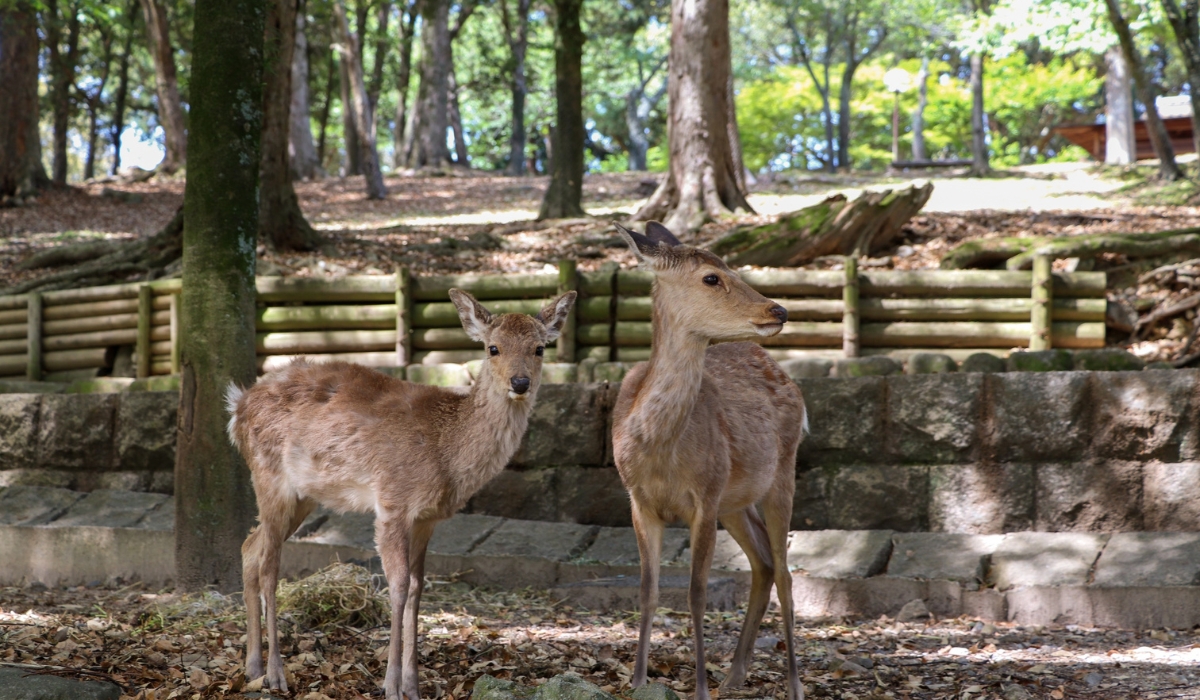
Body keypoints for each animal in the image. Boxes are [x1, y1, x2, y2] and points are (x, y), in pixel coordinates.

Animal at [225, 288, 576, 700]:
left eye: (539, 348)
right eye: (493, 348)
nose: (520, 382)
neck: (446, 452)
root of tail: (236, 407)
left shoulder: (427, 518)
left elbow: (419, 588)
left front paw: (414, 685)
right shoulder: (393, 502)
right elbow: (398, 586)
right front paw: (391, 685)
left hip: (303, 494)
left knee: (250, 547)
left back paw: (252, 667)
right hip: (269, 477)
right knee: (268, 564)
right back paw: (275, 674)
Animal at [611, 222, 808, 700]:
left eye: (732, 267)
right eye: (711, 277)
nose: (779, 310)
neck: (659, 450)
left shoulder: (705, 494)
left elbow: (697, 593)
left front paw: (699, 687)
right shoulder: (638, 500)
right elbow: (647, 590)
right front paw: (639, 681)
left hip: (782, 473)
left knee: (787, 572)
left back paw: (794, 684)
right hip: (734, 502)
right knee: (765, 561)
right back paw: (735, 673)